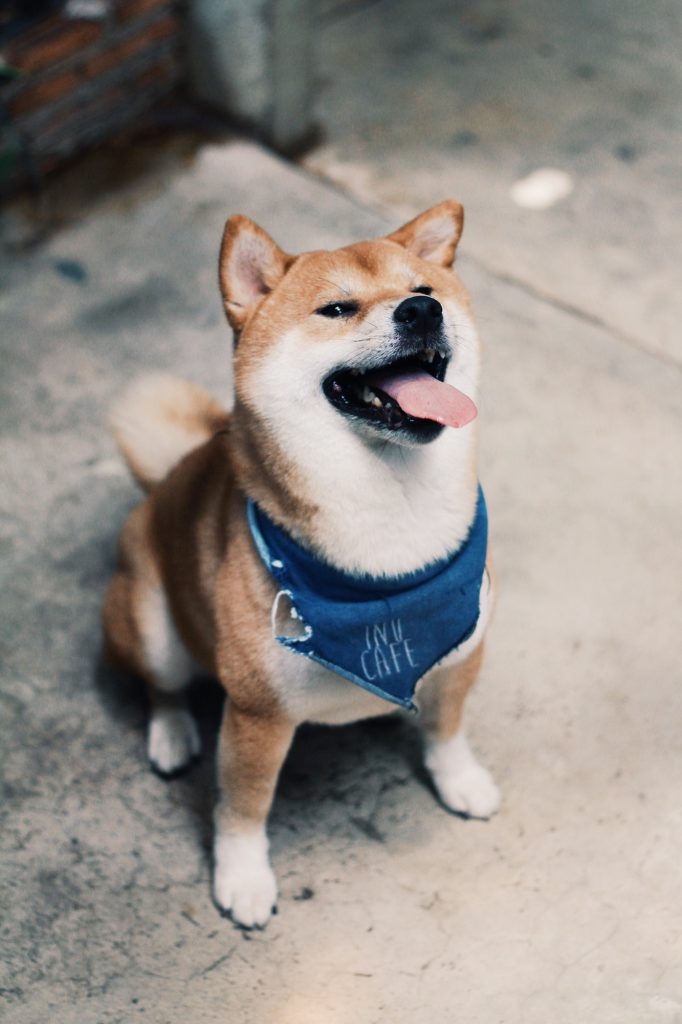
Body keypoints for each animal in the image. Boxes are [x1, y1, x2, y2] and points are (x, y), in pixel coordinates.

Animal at [104, 199, 499, 929]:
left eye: (424, 289)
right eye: (337, 309)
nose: (420, 312)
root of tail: (167, 480)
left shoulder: (463, 651)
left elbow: (447, 729)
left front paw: (459, 780)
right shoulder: (257, 715)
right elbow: (242, 807)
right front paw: (242, 877)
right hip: (150, 623)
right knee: (162, 686)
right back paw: (171, 734)